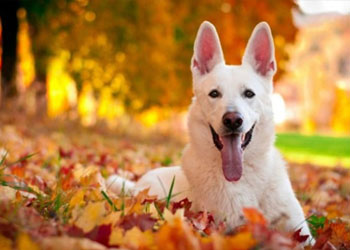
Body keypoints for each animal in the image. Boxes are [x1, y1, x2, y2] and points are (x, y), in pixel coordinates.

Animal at [107, 21, 312, 240]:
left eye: (249, 93)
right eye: (214, 94)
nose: (233, 120)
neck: (239, 178)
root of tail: (138, 183)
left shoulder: (300, 230)